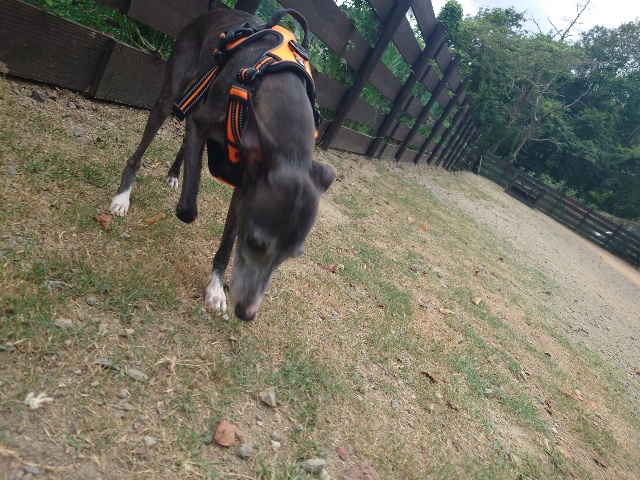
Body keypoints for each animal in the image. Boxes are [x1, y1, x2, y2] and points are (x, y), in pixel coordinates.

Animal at [109, 5, 334, 321]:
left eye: (290, 256)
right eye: (255, 241)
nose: (246, 312)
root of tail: (215, 11)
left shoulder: (246, 186)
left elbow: (227, 244)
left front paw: (215, 289)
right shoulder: (200, 123)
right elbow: (189, 209)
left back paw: (173, 174)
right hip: (172, 92)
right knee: (143, 147)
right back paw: (122, 197)